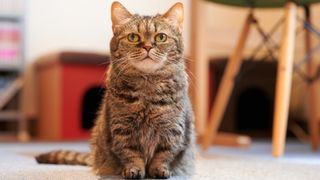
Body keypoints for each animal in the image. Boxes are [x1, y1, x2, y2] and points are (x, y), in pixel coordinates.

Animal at [35, 1, 195, 179]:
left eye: (161, 37)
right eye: (133, 37)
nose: (147, 46)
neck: (147, 85)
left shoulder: (172, 129)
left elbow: (163, 154)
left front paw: (159, 170)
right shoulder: (122, 128)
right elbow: (131, 154)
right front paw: (134, 170)